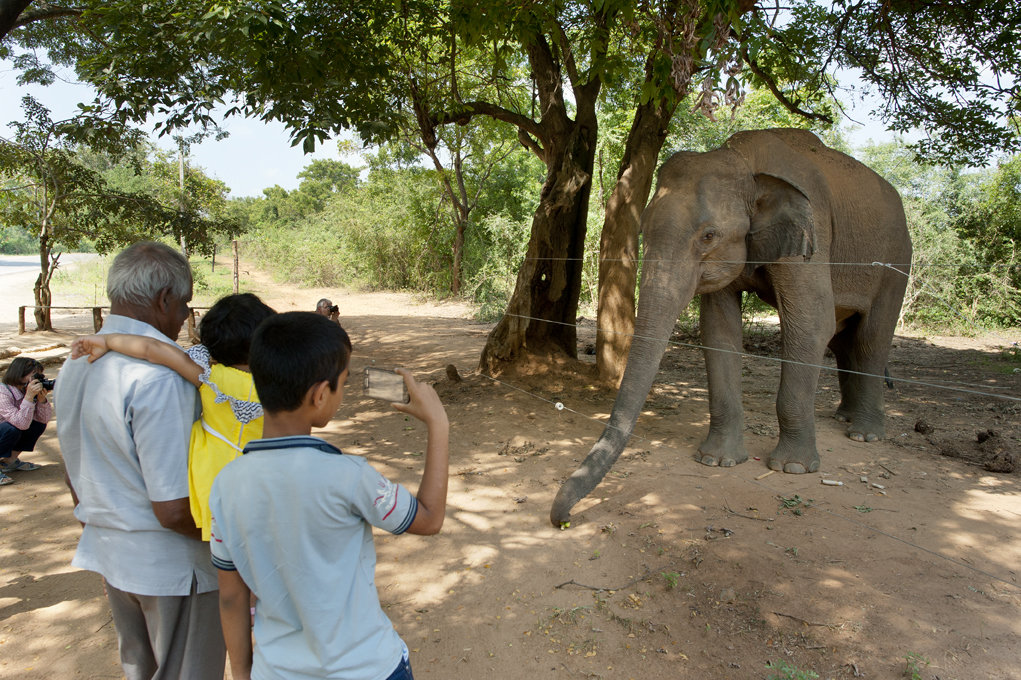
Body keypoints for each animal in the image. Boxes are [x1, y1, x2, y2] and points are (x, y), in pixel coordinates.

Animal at [550, 128, 911, 526]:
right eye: (642, 228)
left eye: (709, 236)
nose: (564, 519)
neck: (745, 162)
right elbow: (718, 329)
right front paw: (716, 461)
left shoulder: (813, 230)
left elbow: (813, 322)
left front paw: (793, 468)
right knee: (845, 339)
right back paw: (845, 417)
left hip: (897, 259)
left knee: (871, 338)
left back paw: (865, 435)